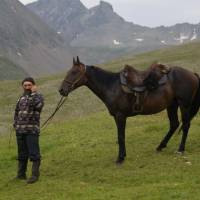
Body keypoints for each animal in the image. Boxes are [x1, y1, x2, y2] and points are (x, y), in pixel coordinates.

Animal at [58, 57, 200, 163]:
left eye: (74, 72)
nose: (61, 90)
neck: (111, 86)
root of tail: (192, 73)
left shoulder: (120, 115)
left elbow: (120, 136)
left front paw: (120, 158)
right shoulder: (117, 117)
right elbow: (121, 136)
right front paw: (123, 155)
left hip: (184, 105)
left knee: (185, 125)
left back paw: (180, 149)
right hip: (172, 105)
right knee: (174, 124)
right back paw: (160, 146)